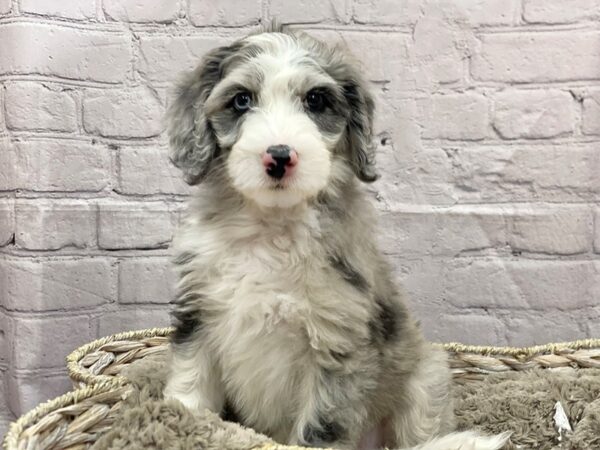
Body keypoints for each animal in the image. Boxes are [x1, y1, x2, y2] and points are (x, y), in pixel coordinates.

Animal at [162, 25, 508, 450]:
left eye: (315, 100)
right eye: (241, 100)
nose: (280, 156)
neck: (272, 226)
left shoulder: (336, 343)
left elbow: (320, 428)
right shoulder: (198, 316)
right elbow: (190, 390)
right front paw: (178, 423)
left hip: (426, 381)